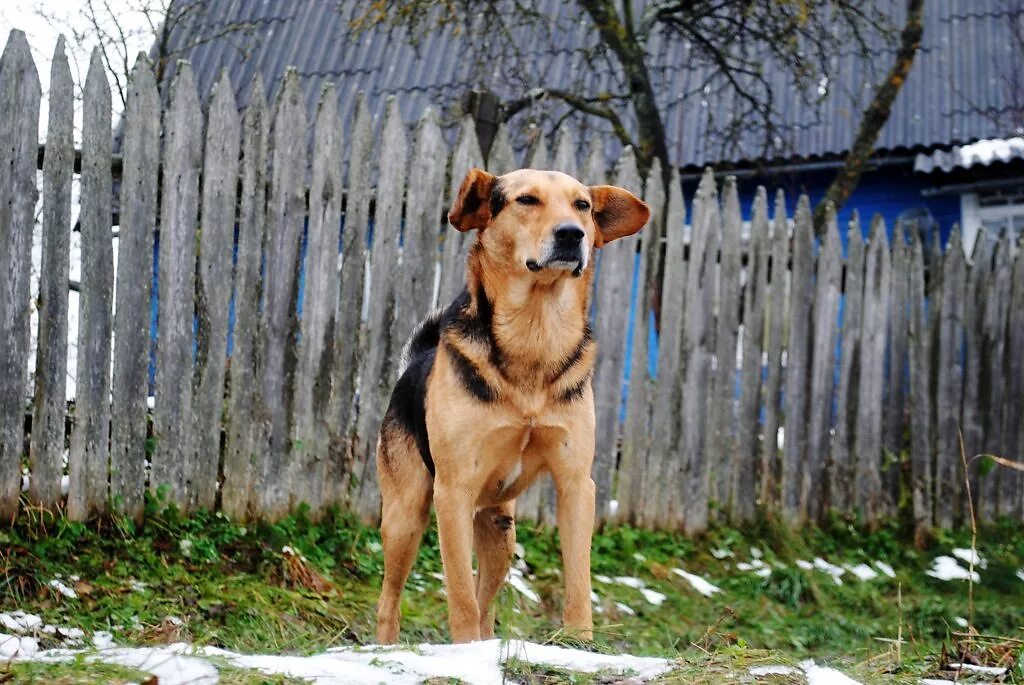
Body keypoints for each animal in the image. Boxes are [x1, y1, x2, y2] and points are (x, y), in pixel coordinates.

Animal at [374, 163, 647, 643]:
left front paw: (579, 643)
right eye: (526, 200)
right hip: (405, 516)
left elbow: (579, 579)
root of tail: (414, 362)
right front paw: (463, 649)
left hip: (502, 532)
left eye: (583, 205)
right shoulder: (453, 492)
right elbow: (460, 594)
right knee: (392, 600)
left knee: (487, 605)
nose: (572, 234)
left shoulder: (576, 484)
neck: (535, 334)